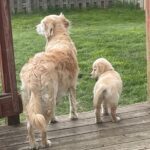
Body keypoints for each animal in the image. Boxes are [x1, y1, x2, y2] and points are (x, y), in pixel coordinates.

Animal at [19, 13, 78, 149]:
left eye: (41, 23)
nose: (35, 27)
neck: (59, 36)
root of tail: (33, 72)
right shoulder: (72, 85)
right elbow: (72, 103)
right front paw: (74, 117)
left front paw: (54, 119)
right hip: (47, 98)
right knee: (43, 127)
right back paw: (45, 143)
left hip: (29, 101)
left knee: (30, 125)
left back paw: (33, 144)